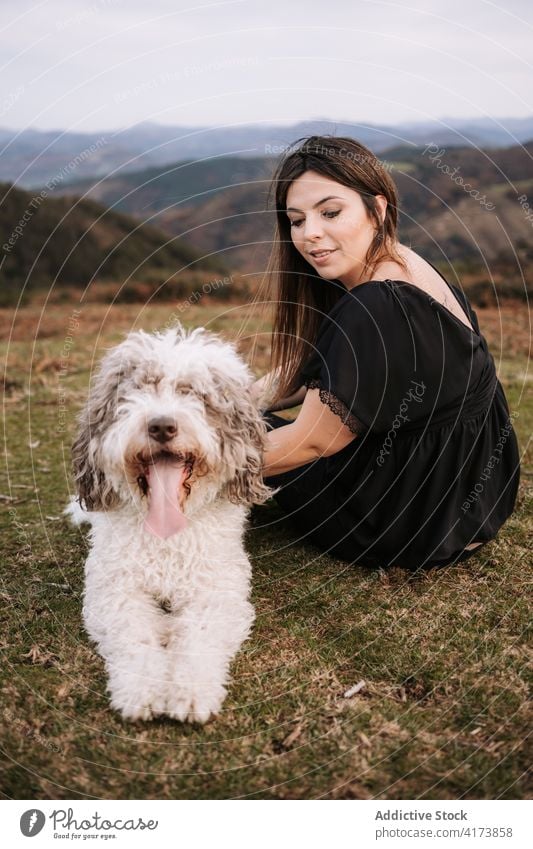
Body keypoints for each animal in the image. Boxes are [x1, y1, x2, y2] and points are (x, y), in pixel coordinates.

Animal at [68, 324, 272, 724]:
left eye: (195, 393)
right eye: (134, 390)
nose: (161, 425)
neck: (166, 531)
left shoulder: (217, 590)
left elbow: (200, 637)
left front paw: (189, 693)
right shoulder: (115, 590)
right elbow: (134, 637)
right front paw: (141, 690)